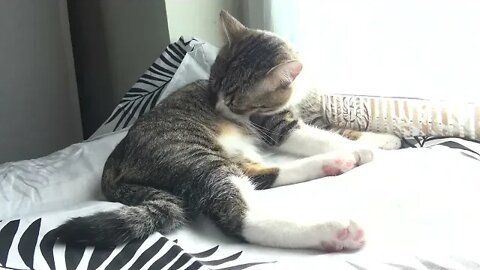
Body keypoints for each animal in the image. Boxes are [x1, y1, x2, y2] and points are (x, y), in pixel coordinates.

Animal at [56, 10, 402, 251]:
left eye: (233, 99)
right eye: (213, 85)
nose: (220, 108)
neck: (299, 93)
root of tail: (114, 164)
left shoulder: (312, 115)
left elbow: (340, 129)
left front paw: (382, 138)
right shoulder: (279, 126)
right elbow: (325, 137)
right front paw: (369, 145)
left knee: (260, 175)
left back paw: (338, 162)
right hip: (194, 154)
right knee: (238, 213)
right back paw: (334, 228)